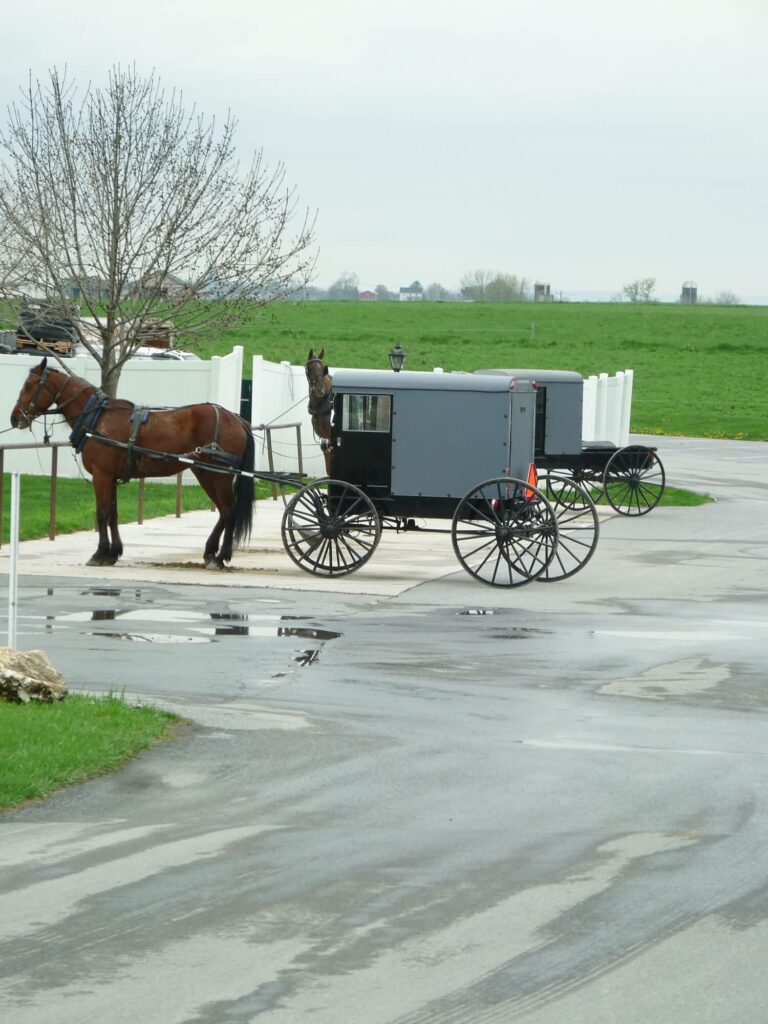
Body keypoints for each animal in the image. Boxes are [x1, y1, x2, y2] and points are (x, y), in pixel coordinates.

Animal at [10, 358, 256, 569]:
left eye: (29, 385)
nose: (14, 418)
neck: (97, 418)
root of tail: (236, 419)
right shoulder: (111, 478)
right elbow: (112, 514)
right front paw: (113, 552)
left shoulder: (101, 476)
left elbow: (101, 513)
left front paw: (99, 553)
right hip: (204, 473)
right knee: (224, 512)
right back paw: (210, 553)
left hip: (218, 476)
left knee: (229, 510)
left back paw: (221, 556)